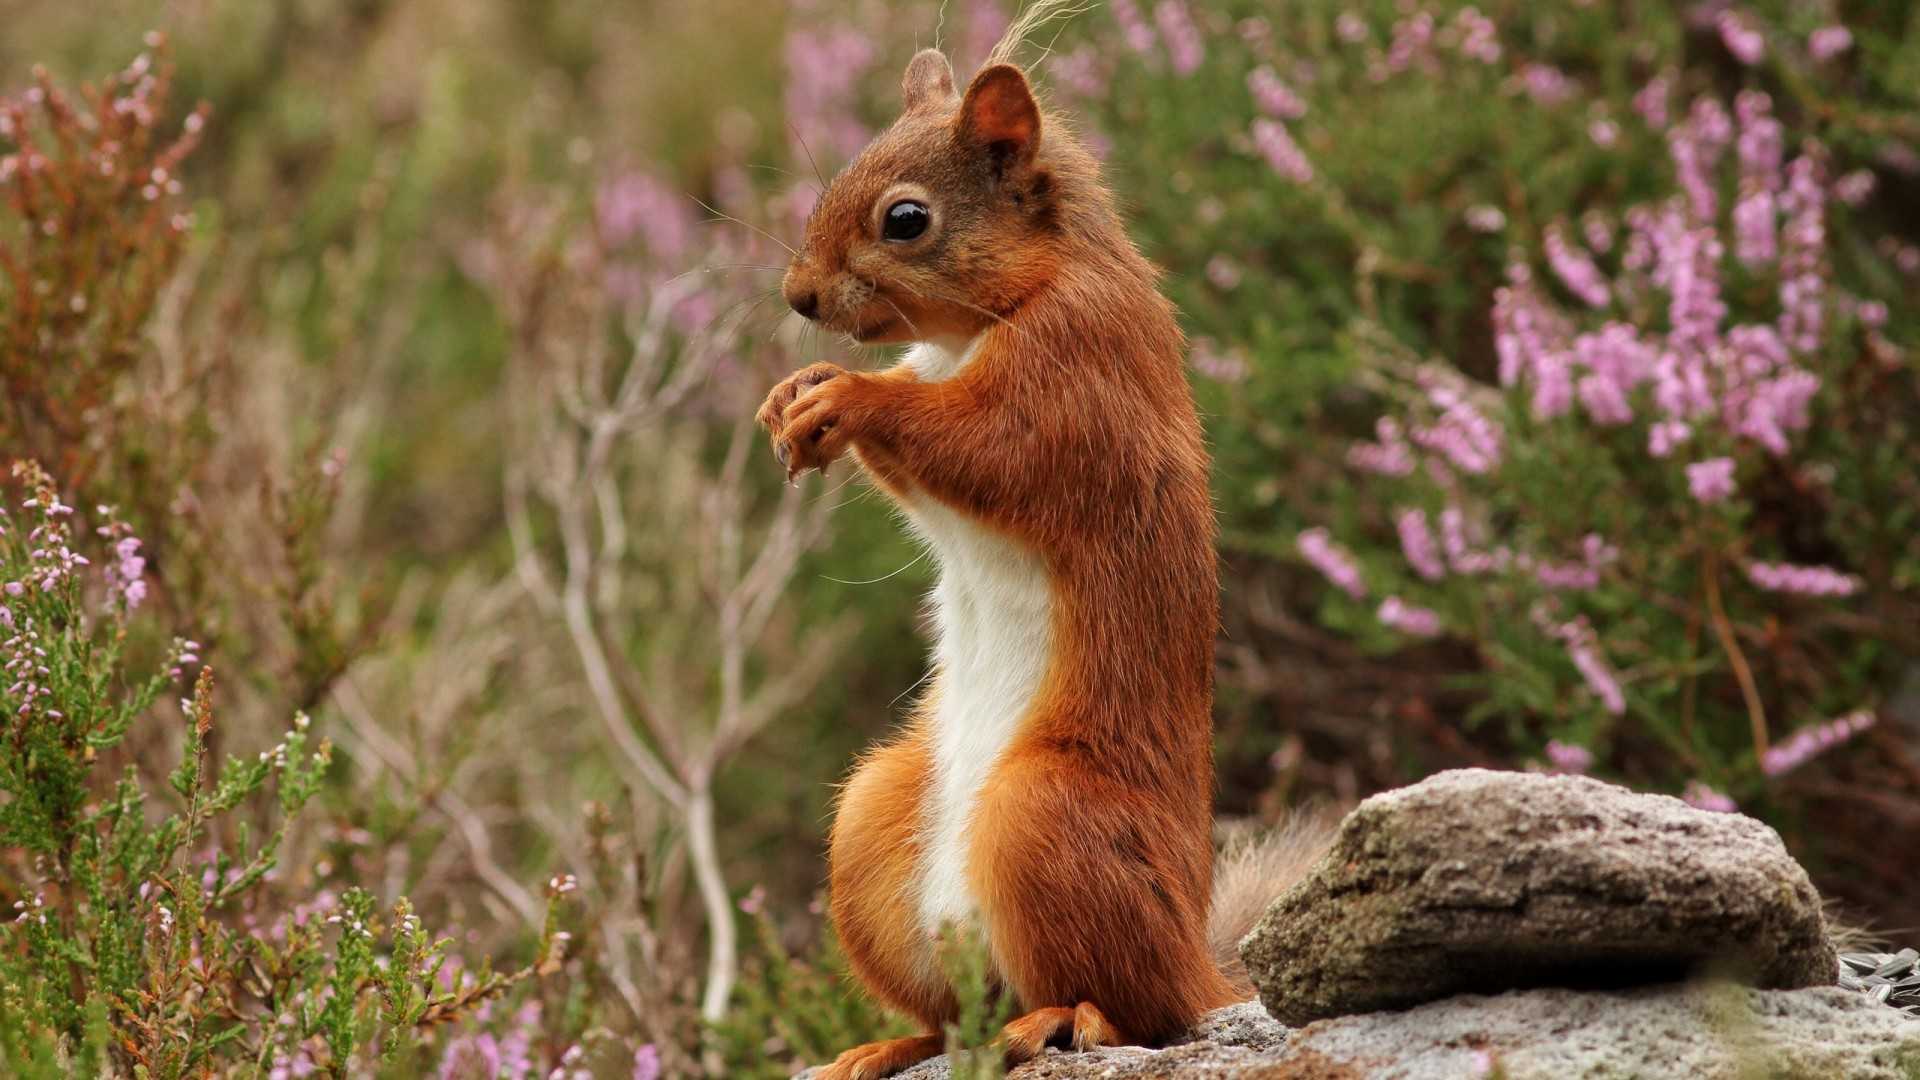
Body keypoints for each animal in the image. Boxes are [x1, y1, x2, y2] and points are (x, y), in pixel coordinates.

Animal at [748, 37, 1320, 1068]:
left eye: (905, 219)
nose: (797, 296)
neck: (980, 325)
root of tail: (1199, 964)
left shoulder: (1076, 382)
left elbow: (986, 447)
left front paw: (847, 395)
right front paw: (795, 392)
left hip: (1041, 814)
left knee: (1135, 1006)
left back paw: (1060, 1019)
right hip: (869, 823)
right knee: (951, 1011)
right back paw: (889, 1046)